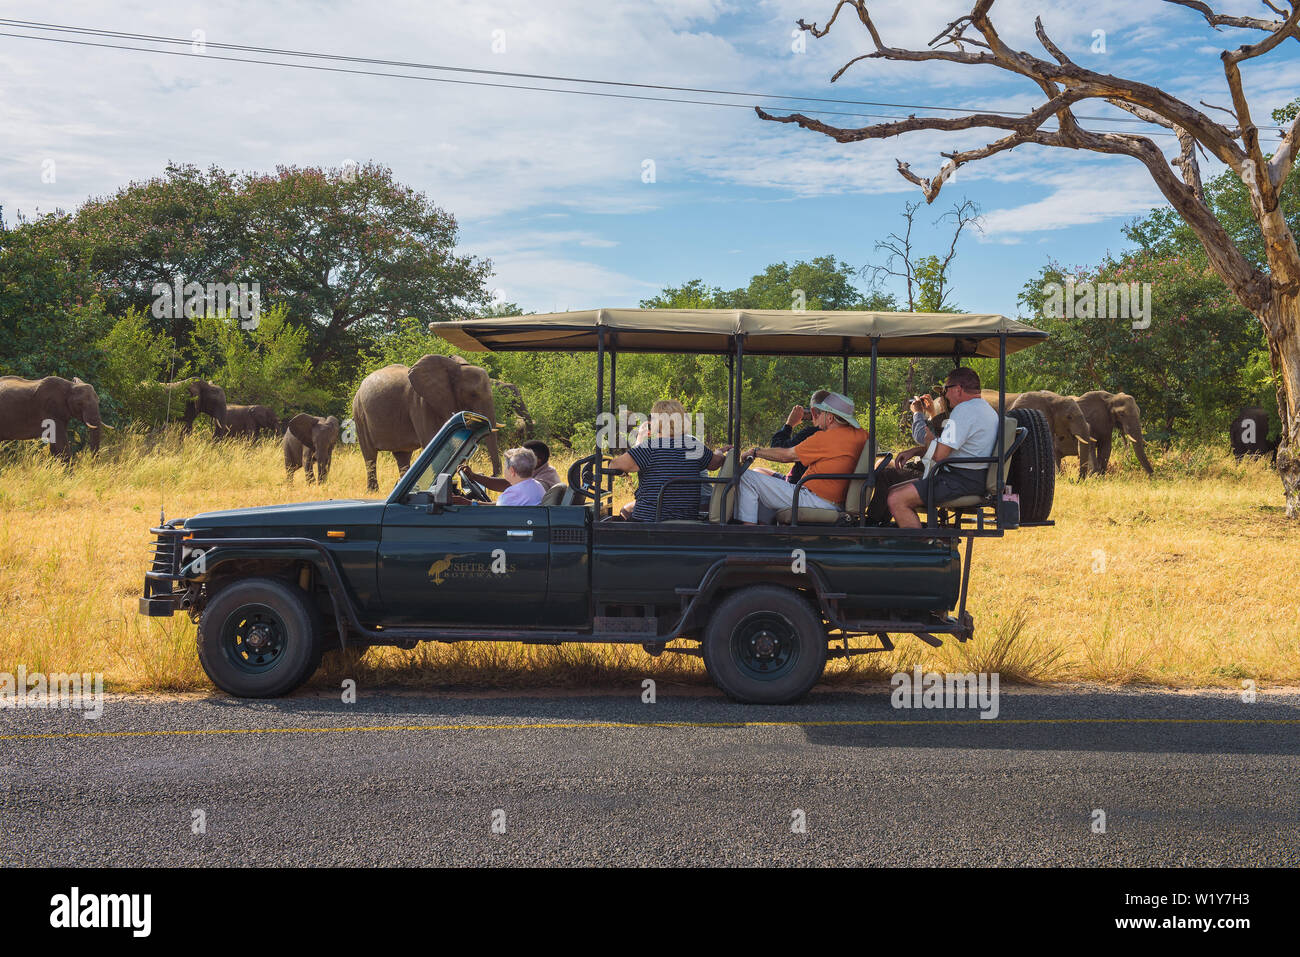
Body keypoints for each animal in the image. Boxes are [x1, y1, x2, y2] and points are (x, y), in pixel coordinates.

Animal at [353, 353, 499, 494]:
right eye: (473, 395)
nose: (492, 475)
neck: (454, 368)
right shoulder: (420, 403)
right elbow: (431, 439)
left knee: (402, 455)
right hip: (359, 413)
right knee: (369, 454)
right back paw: (372, 492)